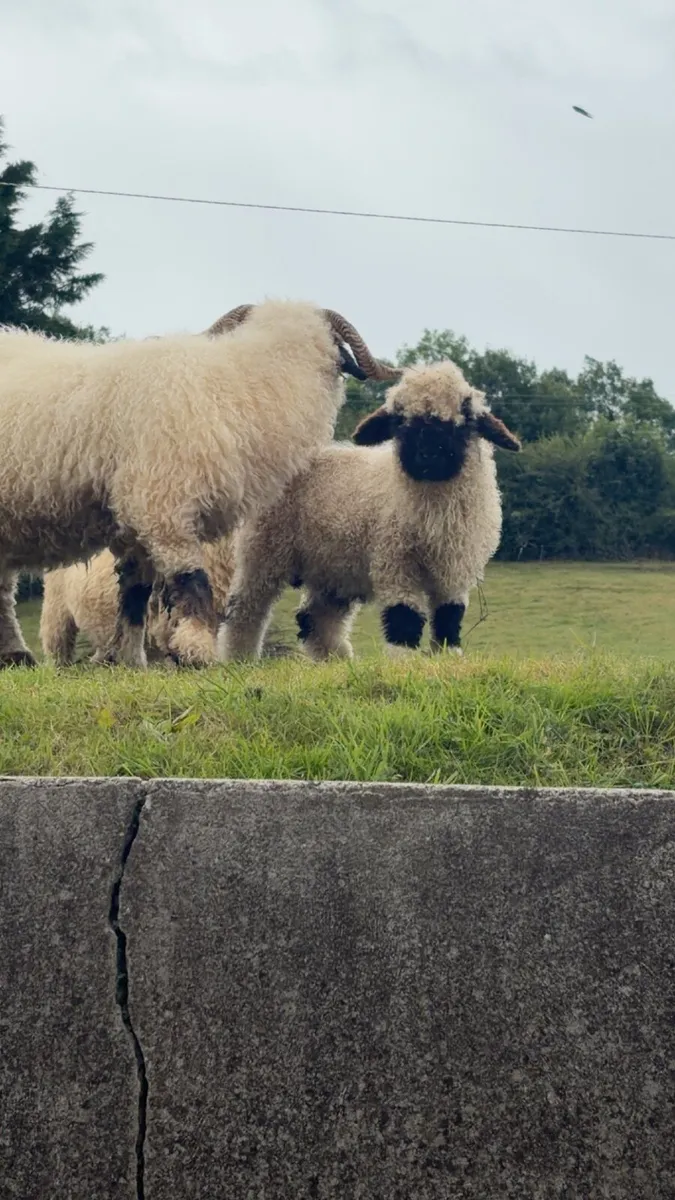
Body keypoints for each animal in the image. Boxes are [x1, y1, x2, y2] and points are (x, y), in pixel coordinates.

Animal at [0, 300, 397, 668]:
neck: (242, 389)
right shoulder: (164, 508)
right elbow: (192, 582)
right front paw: (196, 651)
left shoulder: (138, 522)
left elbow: (134, 594)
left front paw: (130, 661)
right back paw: (18, 654)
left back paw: (14, 655)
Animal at [218, 359, 521, 662]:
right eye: (400, 421)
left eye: (463, 420)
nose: (426, 456)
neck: (433, 507)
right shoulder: (395, 561)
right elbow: (404, 617)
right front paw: (403, 662)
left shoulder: (455, 571)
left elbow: (449, 618)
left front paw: (446, 657)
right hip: (263, 551)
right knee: (245, 609)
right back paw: (239, 658)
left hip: (332, 566)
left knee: (315, 617)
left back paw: (337, 661)